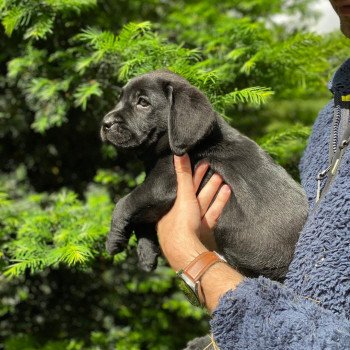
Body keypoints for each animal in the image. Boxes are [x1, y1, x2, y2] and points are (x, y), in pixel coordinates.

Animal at [100, 69, 308, 280]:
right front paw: (146, 252)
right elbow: (142, 215)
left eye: (143, 102)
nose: (105, 123)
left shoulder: (163, 183)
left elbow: (125, 202)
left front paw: (113, 239)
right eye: (120, 98)